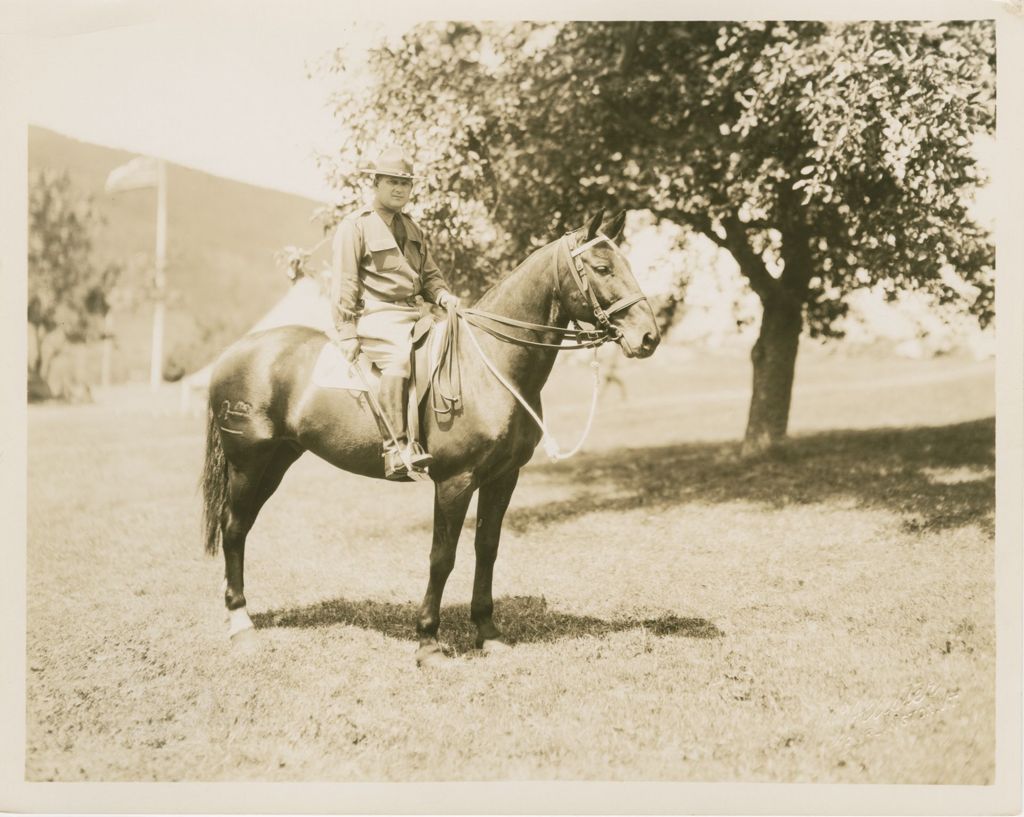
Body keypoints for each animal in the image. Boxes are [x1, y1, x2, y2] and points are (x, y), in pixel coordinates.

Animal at [201, 210, 655, 663]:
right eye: (602, 268)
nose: (648, 337)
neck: (488, 366)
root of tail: (234, 352)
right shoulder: (455, 482)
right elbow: (443, 556)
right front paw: (428, 640)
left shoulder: (502, 478)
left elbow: (487, 548)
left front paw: (486, 630)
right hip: (247, 463)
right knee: (234, 528)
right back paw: (241, 625)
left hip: (276, 462)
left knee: (242, 526)